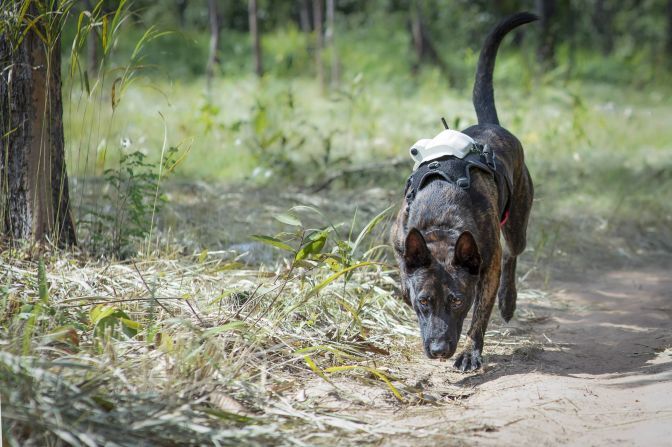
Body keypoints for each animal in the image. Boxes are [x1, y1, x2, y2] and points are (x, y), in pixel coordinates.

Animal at [392, 12, 540, 372]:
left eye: (458, 301)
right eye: (424, 301)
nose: (439, 349)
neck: (442, 222)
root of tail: (492, 125)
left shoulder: (488, 263)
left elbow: (480, 315)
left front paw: (471, 352)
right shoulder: (399, 241)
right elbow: (404, 279)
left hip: (516, 223)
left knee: (514, 253)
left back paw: (508, 300)